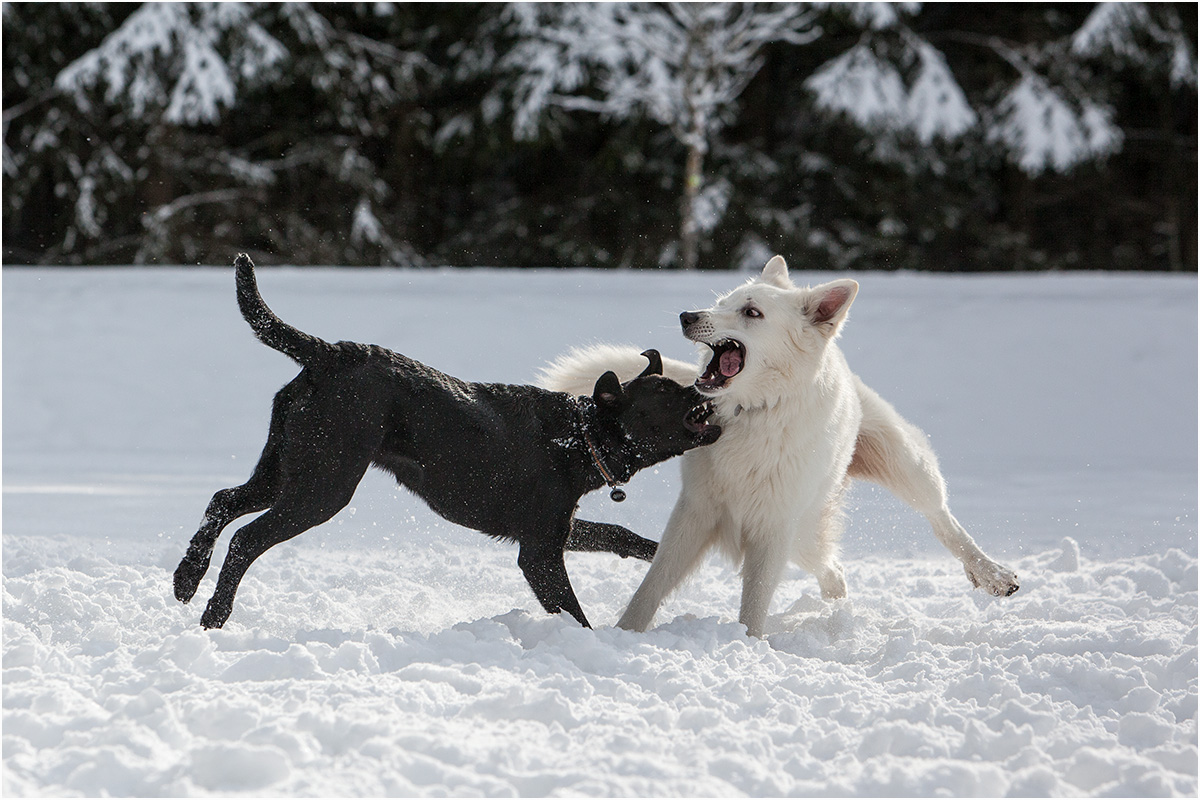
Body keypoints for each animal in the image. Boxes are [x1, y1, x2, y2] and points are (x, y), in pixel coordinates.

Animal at [538, 256, 1019, 637]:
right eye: (723, 301)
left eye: (751, 312)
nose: (687, 315)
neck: (753, 411)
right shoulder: (695, 511)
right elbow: (651, 586)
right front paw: (624, 635)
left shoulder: (773, 524)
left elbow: (754, 603)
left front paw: (749, 648)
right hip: (805, 533)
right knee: (832, 565)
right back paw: (836, 604)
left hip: (896, 465)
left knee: (941, 518)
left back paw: (992, 574)